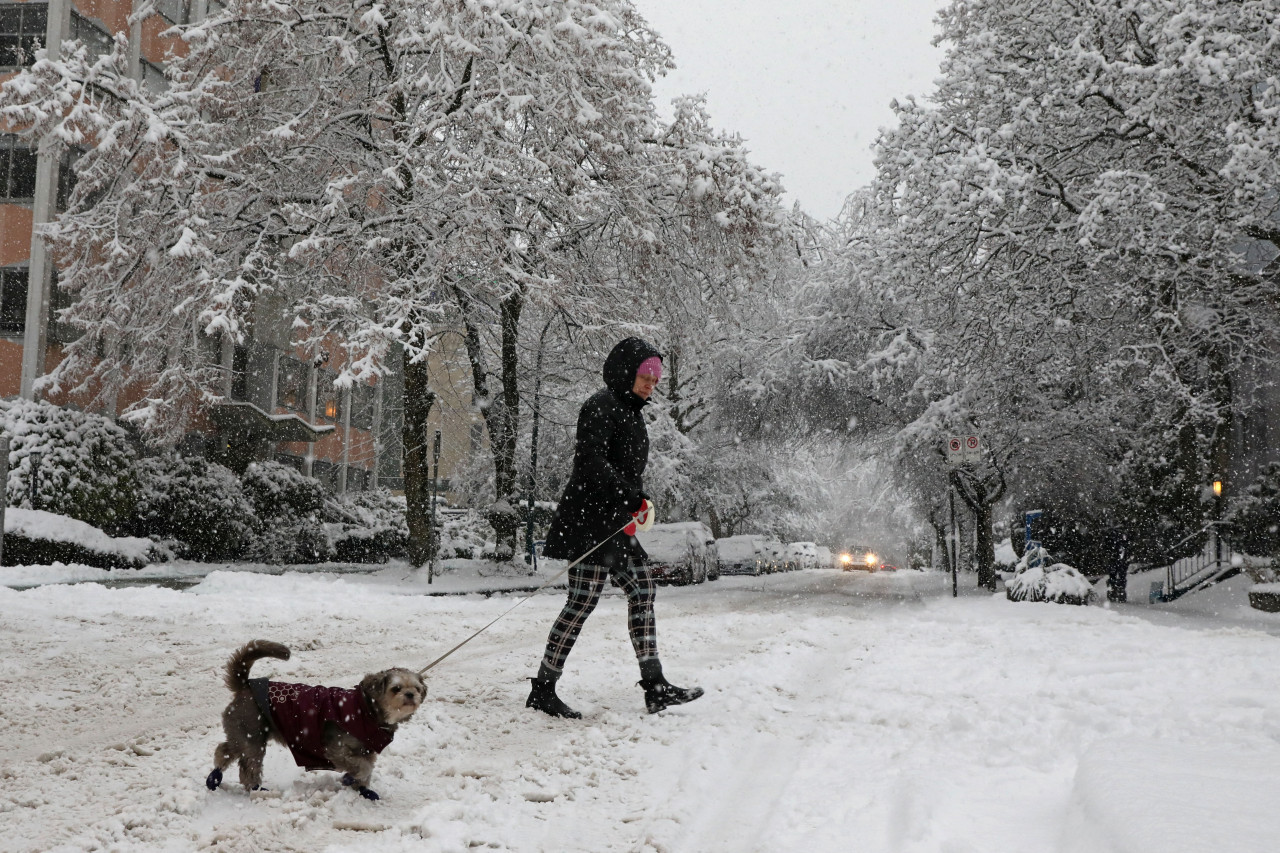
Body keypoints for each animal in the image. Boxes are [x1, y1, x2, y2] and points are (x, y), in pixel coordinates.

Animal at [204, 637, 424, 799]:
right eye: (396, 688)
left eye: (417, 688)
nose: (411, 694)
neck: (366, 710)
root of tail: (245, 685)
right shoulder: (337, 750)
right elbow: (363, 767)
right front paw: (350, 778)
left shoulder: (367, 750)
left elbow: (366, 769)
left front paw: (362, 789)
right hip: (252, 737)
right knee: (245, 766)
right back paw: (254, 788)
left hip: (243, 735)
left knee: (226, 751)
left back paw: (216, 778)